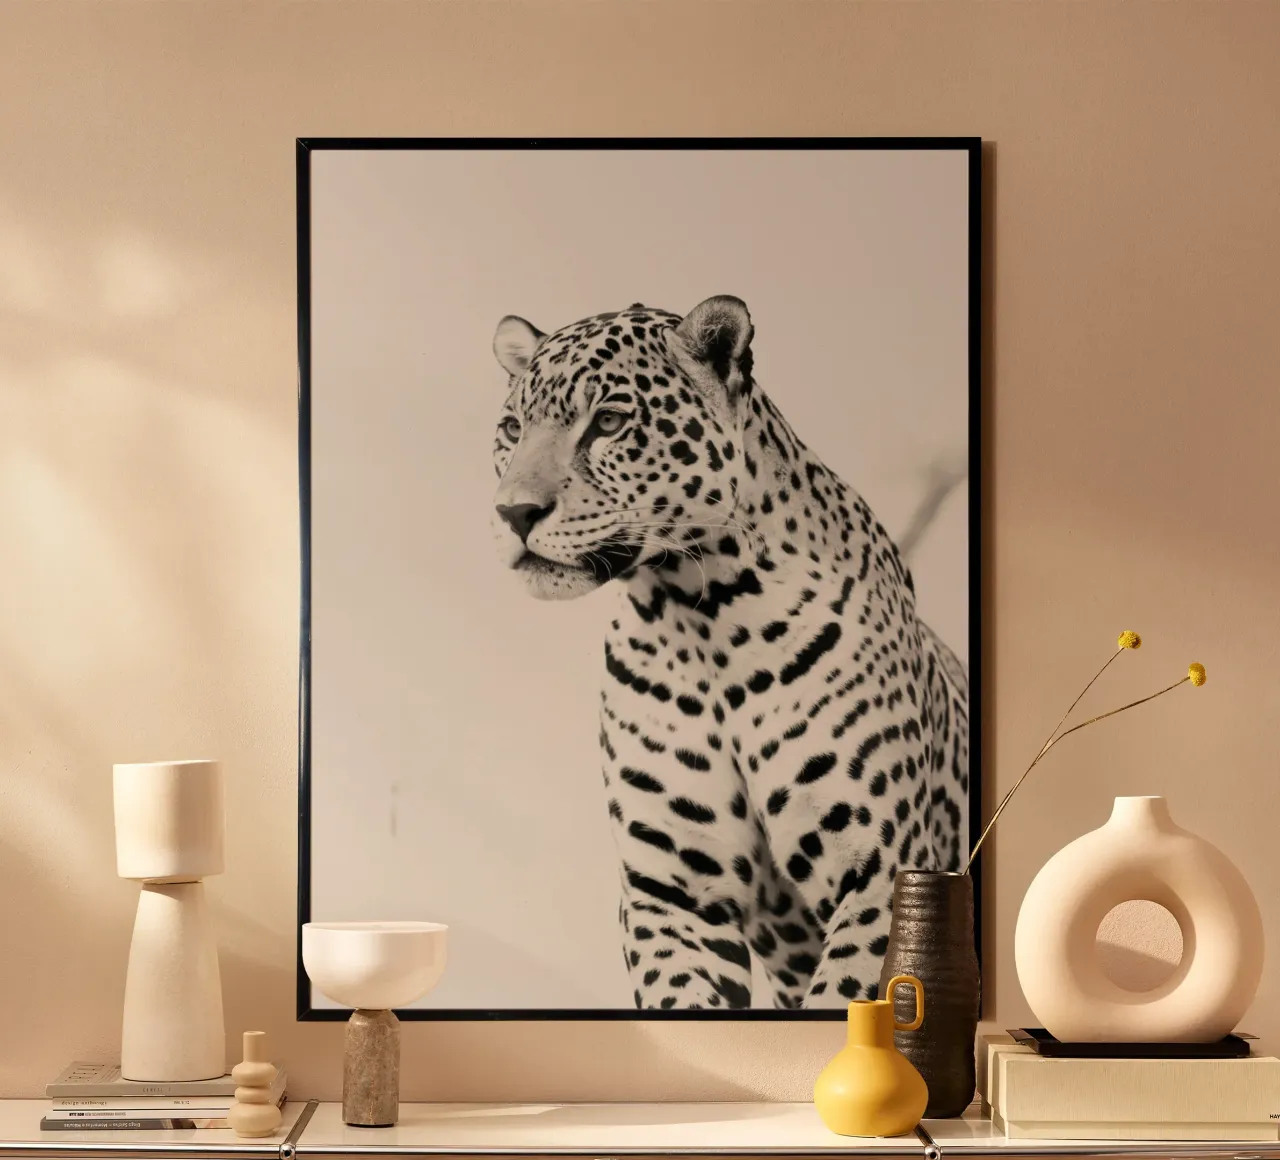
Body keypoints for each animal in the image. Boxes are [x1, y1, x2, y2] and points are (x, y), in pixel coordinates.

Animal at [489, 295, 968, 1010]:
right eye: (512, 428)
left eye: (608, 422)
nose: (514, 513)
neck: (699, 616)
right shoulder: (673, 893)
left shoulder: (880, 869)